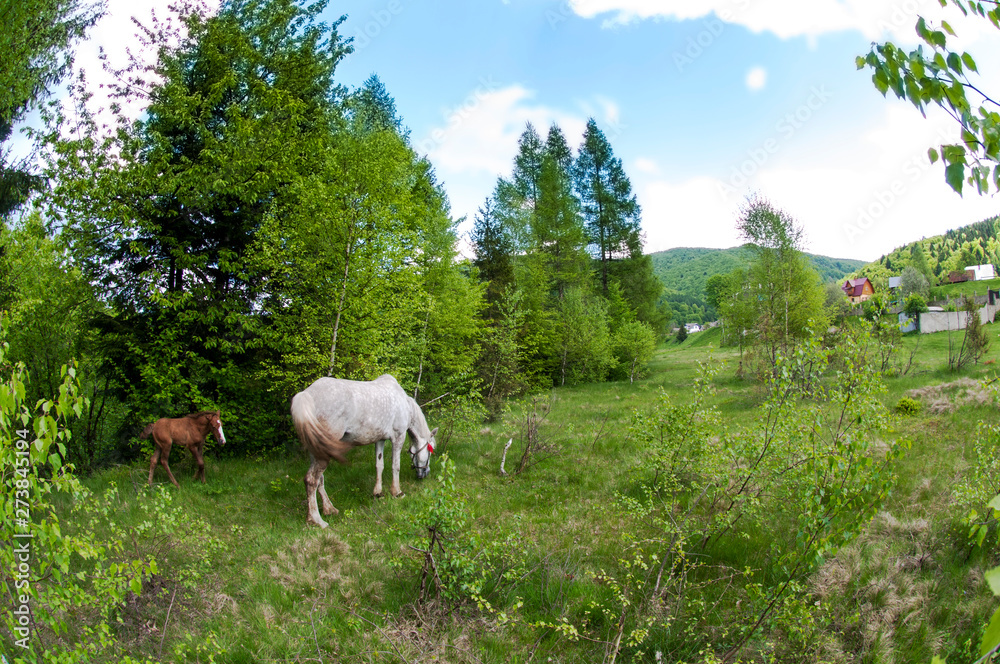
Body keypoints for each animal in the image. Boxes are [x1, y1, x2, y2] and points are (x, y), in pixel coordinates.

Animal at [290, 374, 437, 528]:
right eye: (431, 450)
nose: (425, 473)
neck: (405, 405)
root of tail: (307, 395)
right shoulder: (398, 437)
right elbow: (395, 466)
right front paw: (397, 492)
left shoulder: (380, 439)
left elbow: (379, 465)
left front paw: (378, 493)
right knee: (311, 480)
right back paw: (317, 520)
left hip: (317, 450)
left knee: (319, 479)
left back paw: (328, 509)